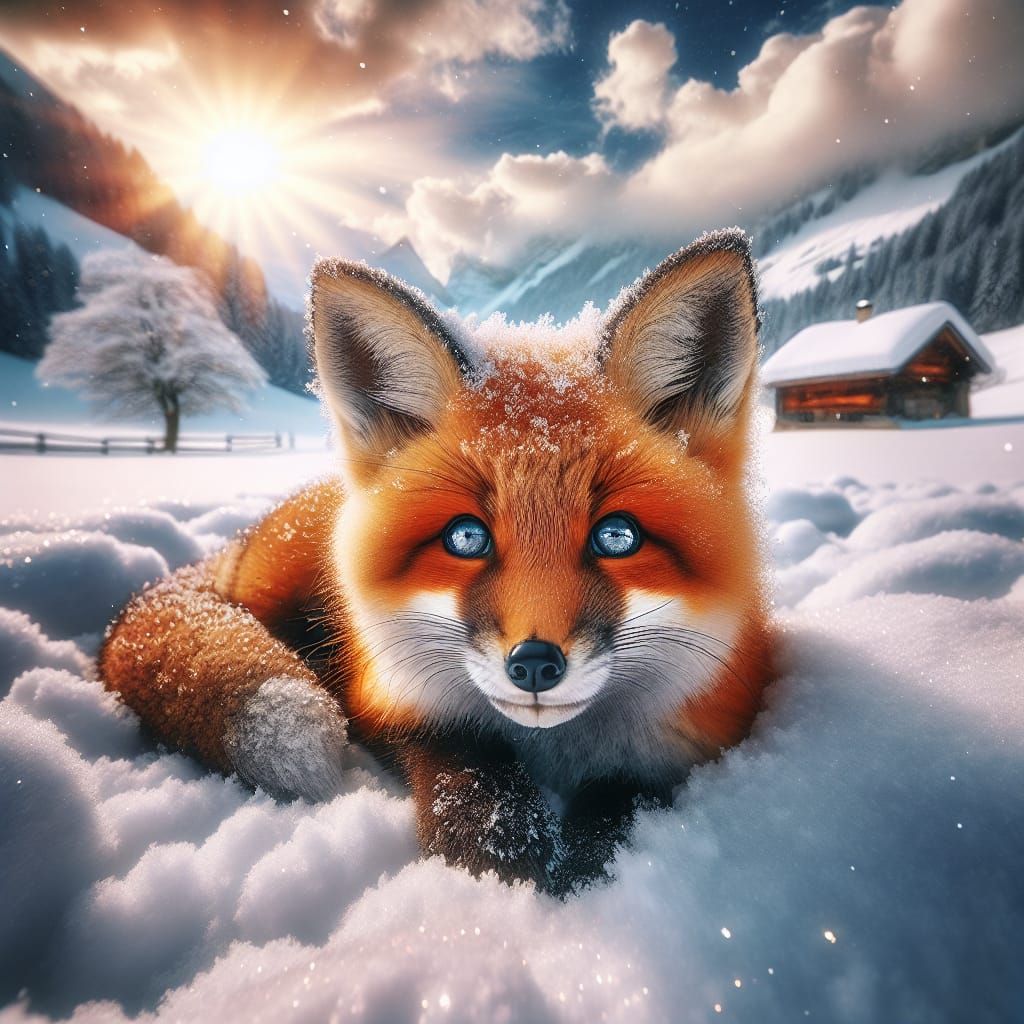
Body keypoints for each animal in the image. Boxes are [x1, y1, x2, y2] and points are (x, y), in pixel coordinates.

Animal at [99, 228, 775, 894]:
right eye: (466, 538)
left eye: (616, 537)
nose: (534, 664)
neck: (555, 748)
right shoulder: (388, 701)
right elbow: (467, 770)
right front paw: (502, 862)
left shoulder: (688, 746)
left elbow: (621, 804)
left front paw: (584, 866)